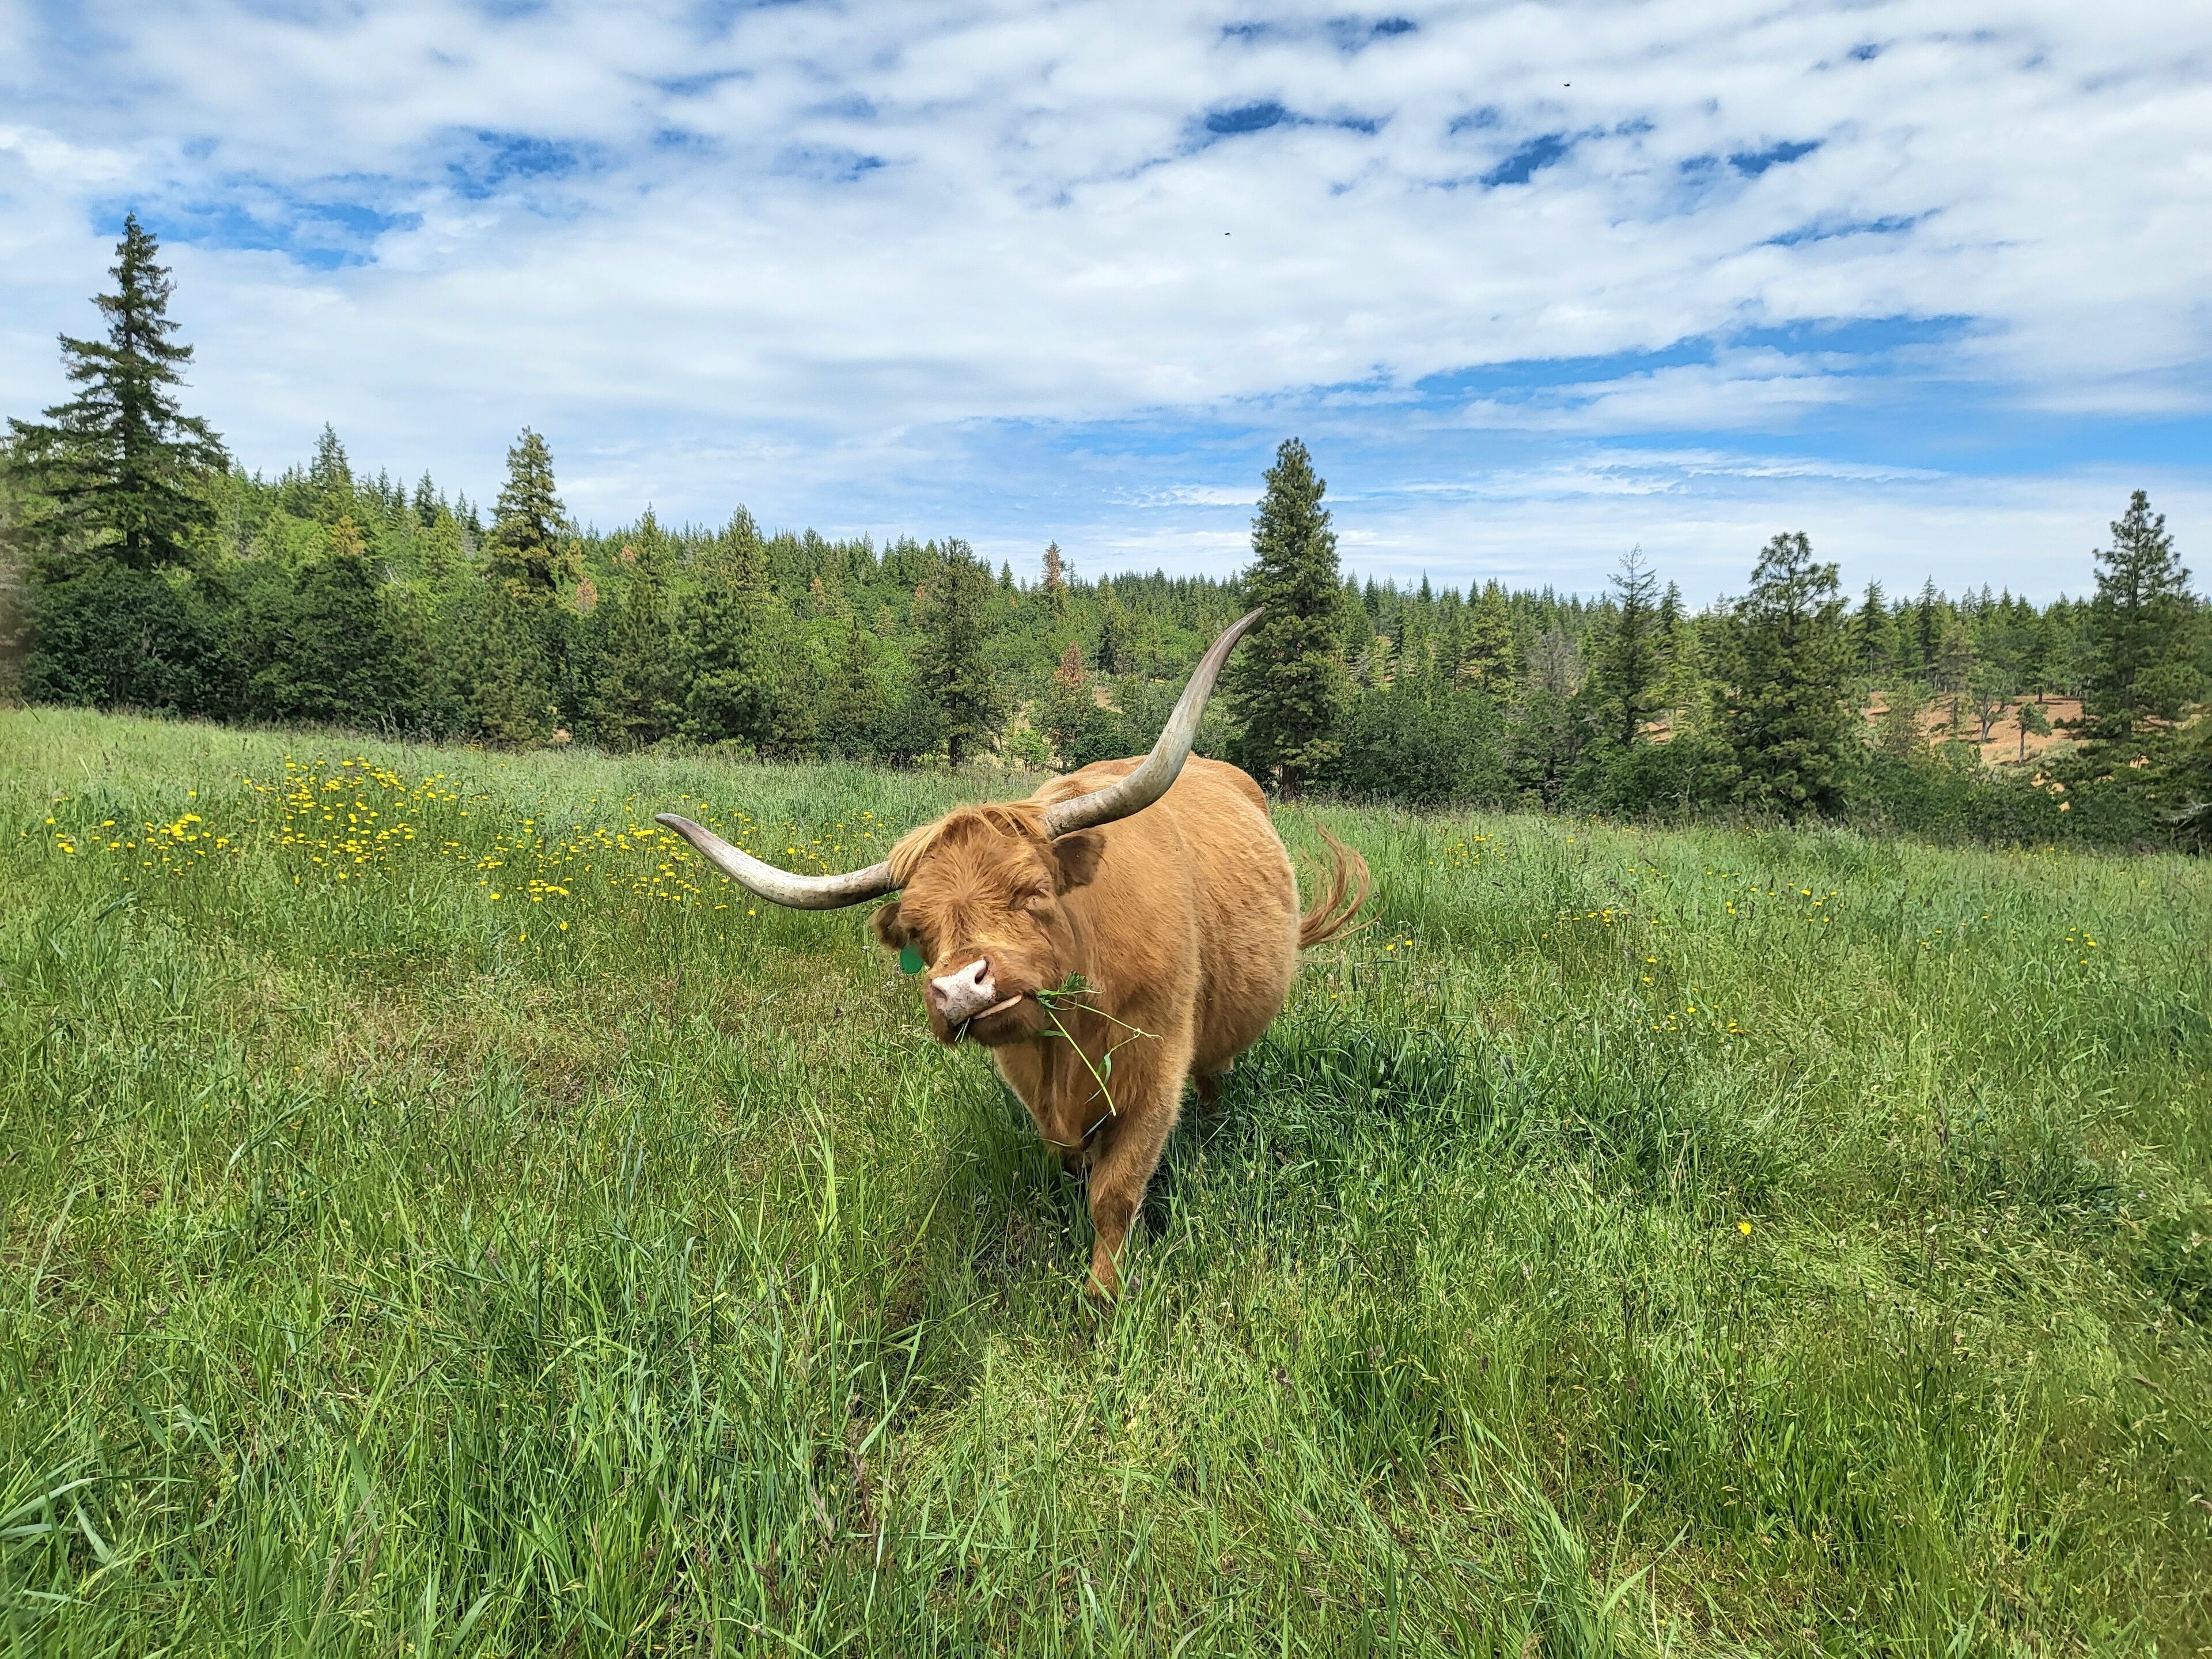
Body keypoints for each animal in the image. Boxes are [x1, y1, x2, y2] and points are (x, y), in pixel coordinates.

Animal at [656, 610, 1368, 1297]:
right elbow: (1075, 1166)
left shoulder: (1155, 1070)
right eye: (918, 934)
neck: (1073, 1030)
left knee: (1215, 1077)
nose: (959, 989)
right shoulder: (1032, 1083)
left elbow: (1115, 1194)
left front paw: (1104, 1296)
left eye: (1032, 893)